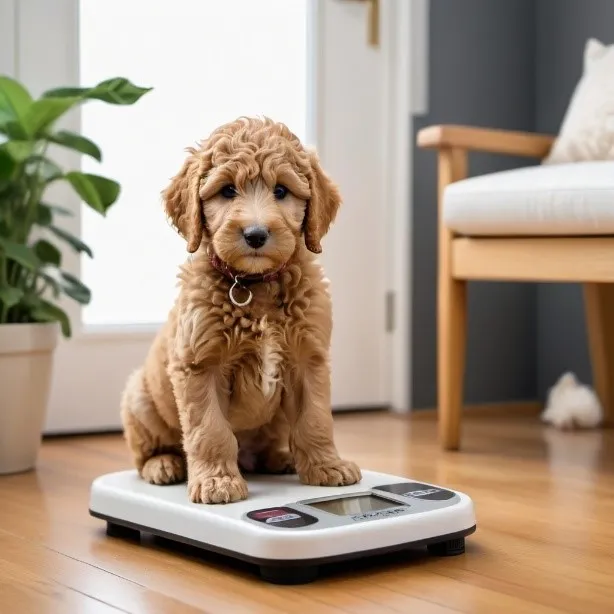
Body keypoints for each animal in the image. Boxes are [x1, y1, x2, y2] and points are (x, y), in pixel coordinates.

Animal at [118, 116, 364, 506]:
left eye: (281, 191)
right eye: (227, 191)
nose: (256, 234)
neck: (254, 284)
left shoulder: (308, 359)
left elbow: (315, 419)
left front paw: (327, 465)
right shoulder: (199, 365)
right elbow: (210, 430)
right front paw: (217, 481)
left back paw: (280, 458)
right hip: (138, 399)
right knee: (146, 452)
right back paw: (164, 464)